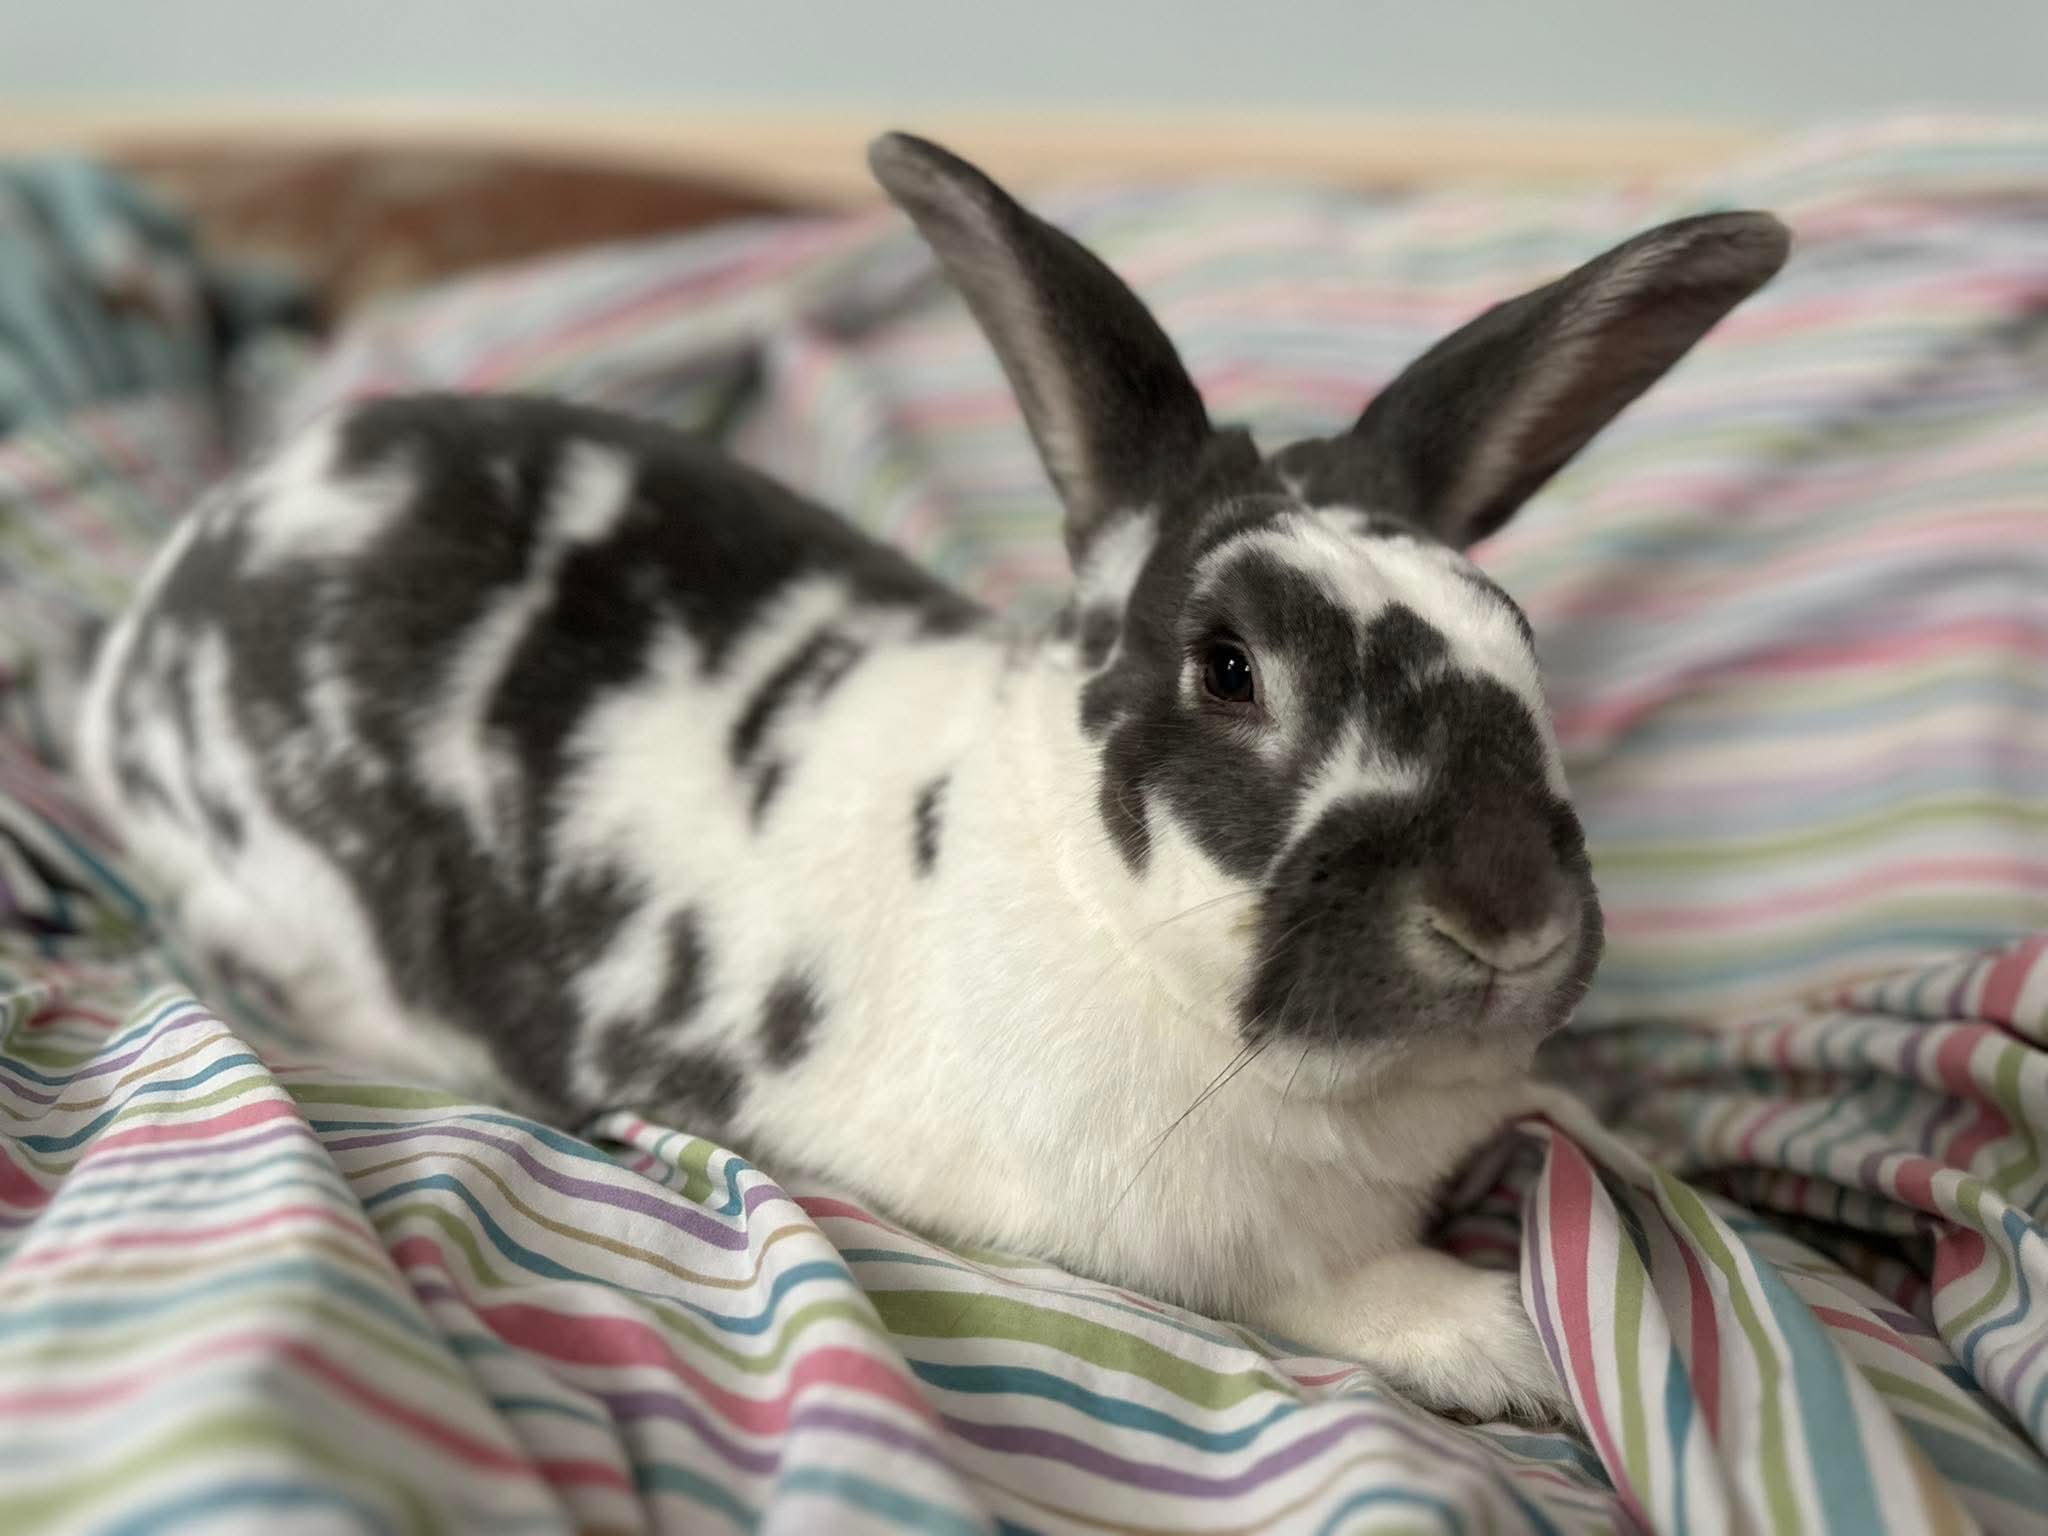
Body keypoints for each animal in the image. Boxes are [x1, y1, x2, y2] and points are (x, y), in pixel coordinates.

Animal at [76, 132, 1787, 1425]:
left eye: (1517, 634)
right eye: (1229, 668)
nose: (1504, 918)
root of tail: (155, 616)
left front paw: (1605, 1128)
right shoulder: (1199, 1255)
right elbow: (1338, 1290)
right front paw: (1499, 1344)